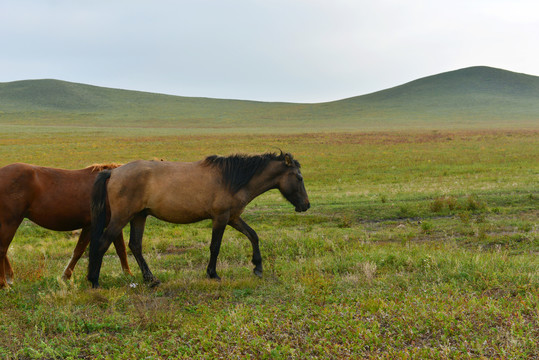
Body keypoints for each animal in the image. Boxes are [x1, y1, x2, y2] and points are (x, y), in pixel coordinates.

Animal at [0, 163, 133, 290]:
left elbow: (120, 249)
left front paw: (128, 274)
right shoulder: (92, 225)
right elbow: (80, 251)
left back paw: (9, 277)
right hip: (10, 221)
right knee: (2, 249)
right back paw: (4, 284)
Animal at [89, 151, 312, 286]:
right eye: (299, 177)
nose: (306, 205)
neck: (232, 180)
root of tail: (113, 172)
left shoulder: (233, 217)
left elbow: (253, 236)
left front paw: (257, 267)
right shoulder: (221, 218)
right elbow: (215, 246)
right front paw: (212, 274)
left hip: (139, 216)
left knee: (135, 245)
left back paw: (151, 279)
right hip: (122, 218)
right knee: (102, 242)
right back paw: (94, 281)